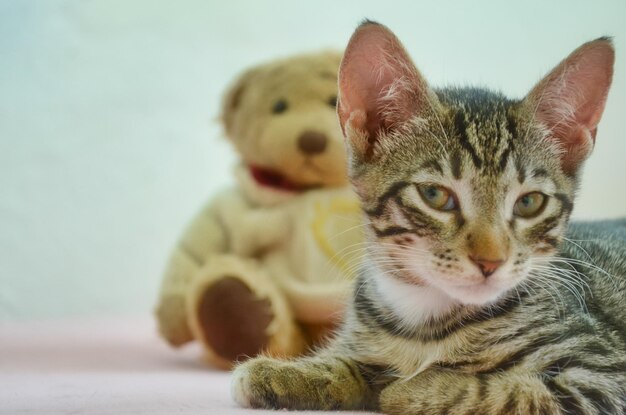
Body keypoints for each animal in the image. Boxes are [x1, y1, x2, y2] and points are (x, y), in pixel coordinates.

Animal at [230, 22, 624, 415]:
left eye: (529, 203)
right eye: (435, 196)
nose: (491, 262)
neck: (425, 322)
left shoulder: (603, 375)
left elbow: (506, 393)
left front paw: (407, 388)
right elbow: (348, 362)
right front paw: (286, 373)